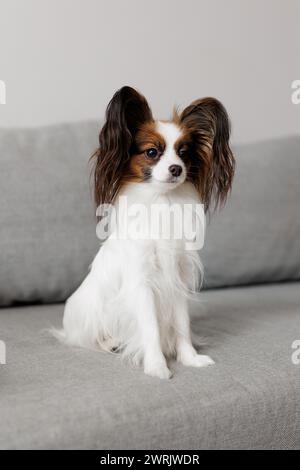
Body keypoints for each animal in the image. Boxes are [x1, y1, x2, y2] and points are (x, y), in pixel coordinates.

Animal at [58, 87, 234, 378]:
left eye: (184, 153)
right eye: (152, 152)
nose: (176, 169)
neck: (162, 201)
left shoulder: (177, 278)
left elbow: (182, 325)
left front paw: (190, 358)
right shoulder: (142, 283)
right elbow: (150, 328)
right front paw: (156, 366)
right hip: (88, 315)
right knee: (86, 338)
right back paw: (111, 342)